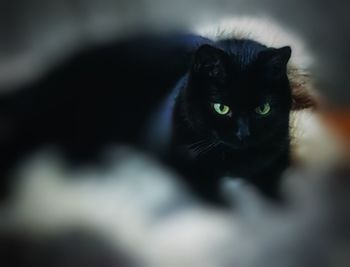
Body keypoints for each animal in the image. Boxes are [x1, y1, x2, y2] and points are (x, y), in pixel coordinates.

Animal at [0, 34, 292, 204]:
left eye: (263, 109)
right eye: (221, 108)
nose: (244, 134)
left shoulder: (279, 151)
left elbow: (272, 175)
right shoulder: (172, 153)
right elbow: (200, 181)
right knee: (29, 133)